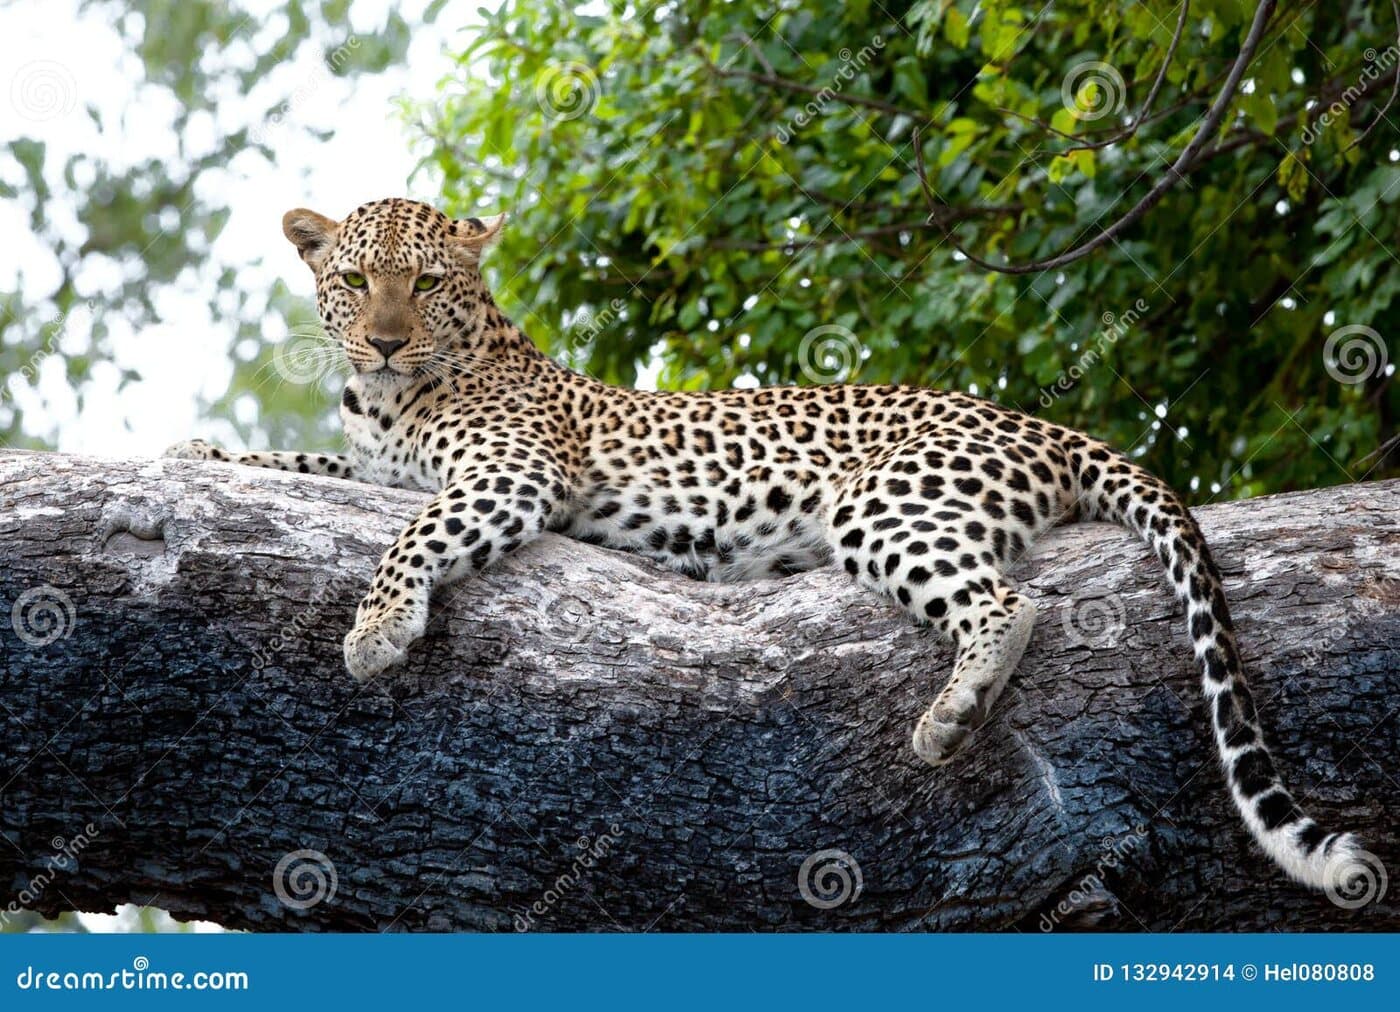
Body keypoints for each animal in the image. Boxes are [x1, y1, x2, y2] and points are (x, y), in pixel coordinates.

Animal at [165, 197, 1365, 893]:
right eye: (354, 280)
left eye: (424, 280)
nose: (382, 339)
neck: (391, 397)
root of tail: (1043, 424)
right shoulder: (377, 469)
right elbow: (308, 469)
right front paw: (200, 448)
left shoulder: (511, 474)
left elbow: (413, 532)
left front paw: (375, 629)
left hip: (883, 503)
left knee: (1008, 601)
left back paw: (950, 714)